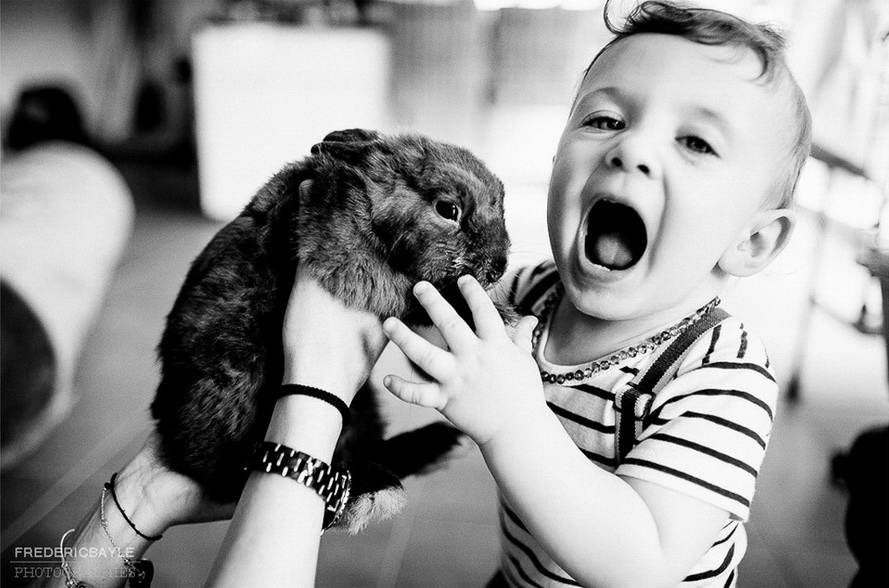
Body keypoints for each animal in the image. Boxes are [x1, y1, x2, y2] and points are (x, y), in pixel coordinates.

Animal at [152, 129, 510, 532]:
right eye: (448, 210)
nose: (499, 267)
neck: (369, 205)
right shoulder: (358, 268)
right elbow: (416, 296)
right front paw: (498, 316)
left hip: (363, 404)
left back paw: (432, 447)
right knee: (232, 478)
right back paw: (373, 489)